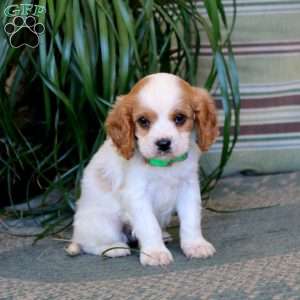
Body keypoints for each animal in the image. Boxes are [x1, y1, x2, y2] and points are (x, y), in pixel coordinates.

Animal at [67, 74, 219, 266]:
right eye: (143, 121)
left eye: (179, 118)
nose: (163, 143)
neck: (163, 165)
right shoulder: (137, 195)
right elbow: (149, 225)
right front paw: (155, 253)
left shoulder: (188, 187)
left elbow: (191, 220)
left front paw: (195, 245)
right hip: (103, 222)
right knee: (90, 244)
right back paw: (113, 248)